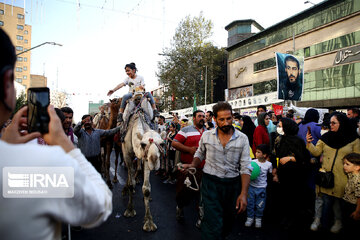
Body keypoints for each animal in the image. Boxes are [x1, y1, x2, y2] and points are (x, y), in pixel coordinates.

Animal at [122, 92, 165, 231]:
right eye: (143, 144)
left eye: (162, 143)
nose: (154, 160)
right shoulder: (127, 155)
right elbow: (131, 183)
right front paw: (130, 210)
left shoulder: (145, 159)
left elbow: (146, 189)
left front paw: (149, 222)